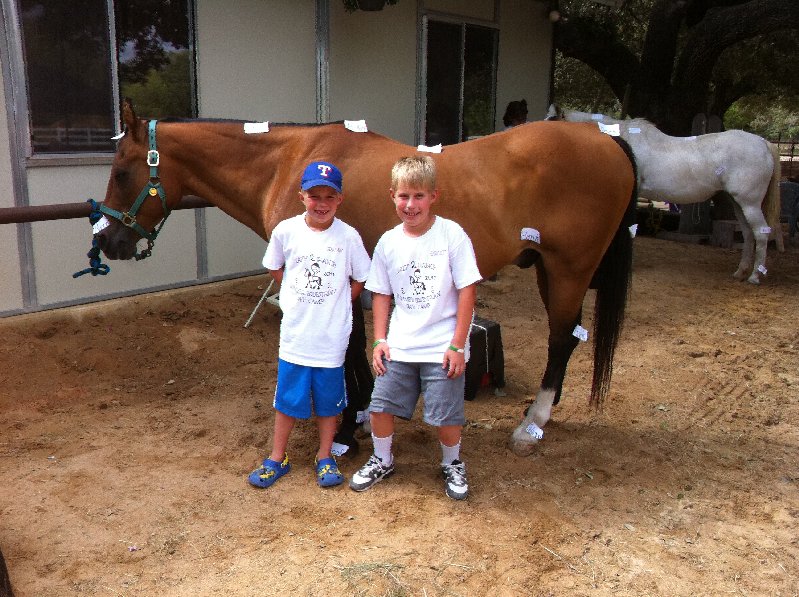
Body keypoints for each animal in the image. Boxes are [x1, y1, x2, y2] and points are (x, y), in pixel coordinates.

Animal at [95, 99, 637, 456]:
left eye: (121, 172)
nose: (108, 243)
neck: (289, 162)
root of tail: (605, 139)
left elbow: (348, 346)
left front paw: (347, 426)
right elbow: (354, 343)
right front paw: (355, 415)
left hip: (568, 269)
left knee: (562, 338)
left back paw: (532, 426)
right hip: (550, 268)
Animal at [546, 105, 782, 284]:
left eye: (550, 123)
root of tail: (763, 143)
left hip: (749, 203)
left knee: (760, 233)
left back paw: (754, 276)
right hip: (737, 203)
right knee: (749, 234)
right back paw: (741, 272)